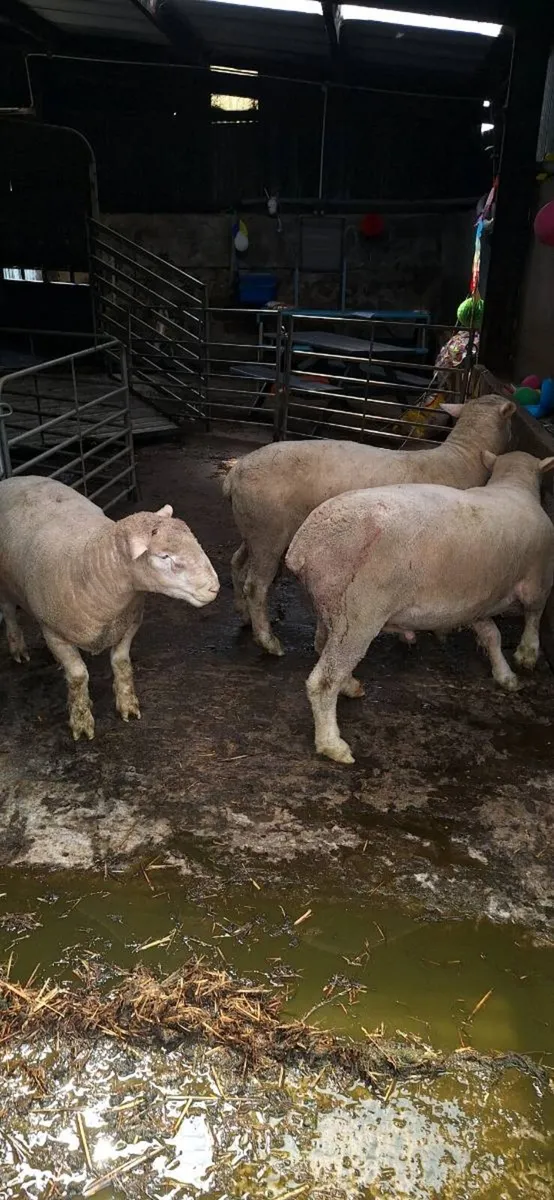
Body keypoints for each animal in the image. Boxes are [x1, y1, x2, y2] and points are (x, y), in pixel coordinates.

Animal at [0, 477, 219, 740]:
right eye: (164, 557)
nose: (214, 588)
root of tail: (15, 478)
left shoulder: (128, 624)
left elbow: (121, 663)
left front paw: (127, 705)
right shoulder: (54, 632)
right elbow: (78, 676)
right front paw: (81, 720)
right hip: (4, 586)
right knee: (9, 613)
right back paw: (18, 648)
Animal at [222, 395, 515, 656]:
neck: (462, 458)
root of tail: (234, 472)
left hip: (253, 527)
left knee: (237, 562)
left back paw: (242, 613)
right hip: (268, 532)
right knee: (256, 585)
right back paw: (268, 640)